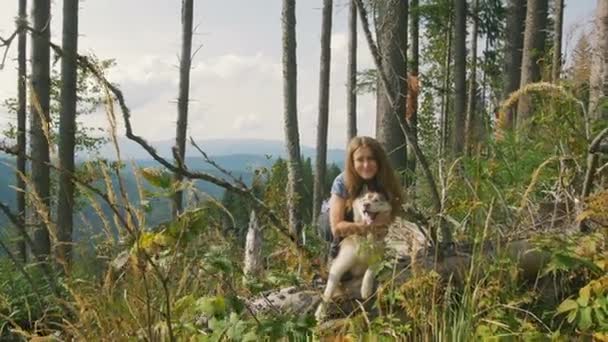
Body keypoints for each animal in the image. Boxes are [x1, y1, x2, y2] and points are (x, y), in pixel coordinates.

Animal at [316, 188, 392, 322]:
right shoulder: (339, 265)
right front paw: (321, 312)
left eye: (376, 200)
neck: (367, 237)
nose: (366, 205)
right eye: (364, 199)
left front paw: (366, 288)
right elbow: (327, 292)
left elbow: (371, 269)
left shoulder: (380, 258)